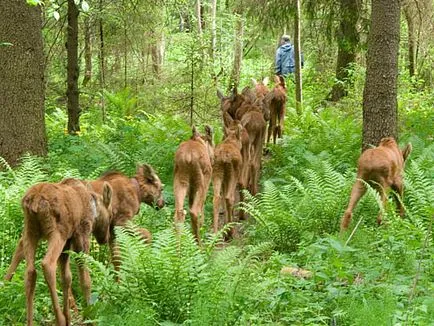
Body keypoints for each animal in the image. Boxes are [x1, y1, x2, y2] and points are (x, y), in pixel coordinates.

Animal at [10, 178, 112, 326]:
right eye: (110, 217)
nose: (106, 238)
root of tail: (34, 201)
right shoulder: (82, 234)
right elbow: (85, 280)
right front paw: (90, 315)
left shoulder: (67, 243)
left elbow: (66, 278)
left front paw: (70, 317)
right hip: (57, 233)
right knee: (47, 264)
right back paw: (60, 319)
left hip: (30, 231)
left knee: (30, 271)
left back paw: (30, 321)